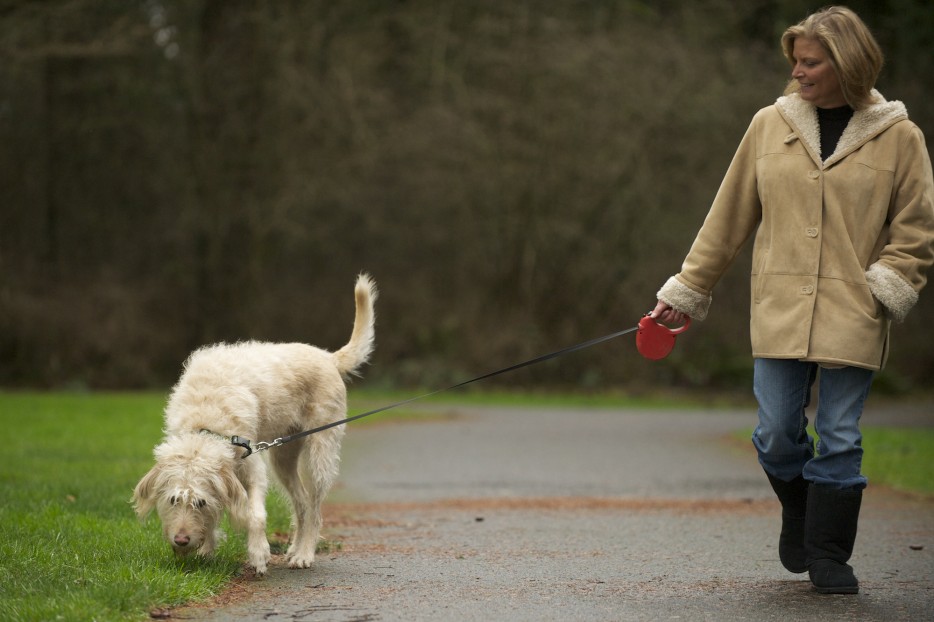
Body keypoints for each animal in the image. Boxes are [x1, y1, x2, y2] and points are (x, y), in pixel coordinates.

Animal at [133, 276, 380, 576]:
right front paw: (207, 549)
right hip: (284, 457)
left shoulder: (253, 468)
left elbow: (256, 515)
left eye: (200, 502)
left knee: (314, 508)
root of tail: (327, 357)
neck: (205, 421)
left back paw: (304, 554)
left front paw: (259, 554)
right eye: (173, 500)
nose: (181, 540)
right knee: (301, 503)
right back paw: (295, 549)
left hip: (319, 455)